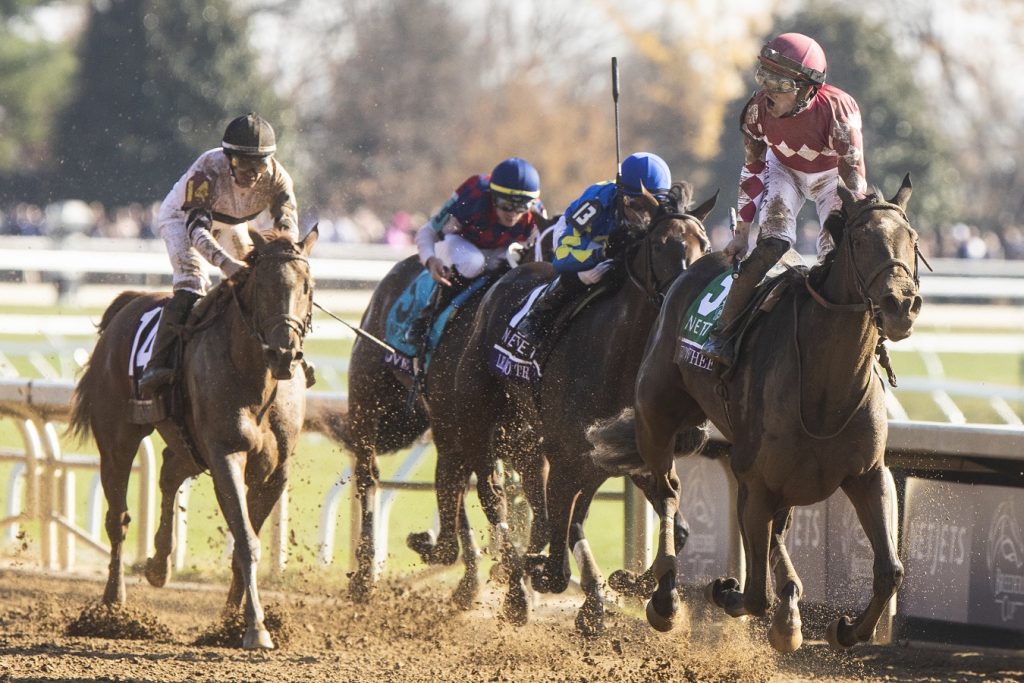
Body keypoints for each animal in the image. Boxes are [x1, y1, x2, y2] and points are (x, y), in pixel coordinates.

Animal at [69, 227, 315, 651]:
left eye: (306, 286)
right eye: (262, 286)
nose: (284, 353)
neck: (257, 380)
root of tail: (128, 304)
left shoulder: (274, 471)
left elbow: (244, 540)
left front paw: (230, 622)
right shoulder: (225, 454)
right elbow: (246, 541)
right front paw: (255, 628)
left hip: (188, 443)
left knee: (169, 471)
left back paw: (158, 564)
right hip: (118, 439)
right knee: (118, 518)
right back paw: (113, 608)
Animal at [413, 184, 712, 634]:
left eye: (705, 245)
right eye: (660, 244)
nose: (687, 297)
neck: (618, 356)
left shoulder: (636, 458)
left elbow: (675, 527)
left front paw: (648, 593)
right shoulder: (564, 455)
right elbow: (556, 545)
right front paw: (547, 578)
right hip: (476, 424)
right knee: (493, 496)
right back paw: (511, 585)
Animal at [589, 175, 925, 651]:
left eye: (911, 239)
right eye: (860, 239)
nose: (901, 305)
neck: (827, 386)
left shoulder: (867, 474)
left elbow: (889, 569)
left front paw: (846, 628)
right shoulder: (756, 478)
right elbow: (753, 593)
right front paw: (725, 590)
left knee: (775, 533)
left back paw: (789, 612)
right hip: (656, 416)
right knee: (668, 491)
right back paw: (666, 597)